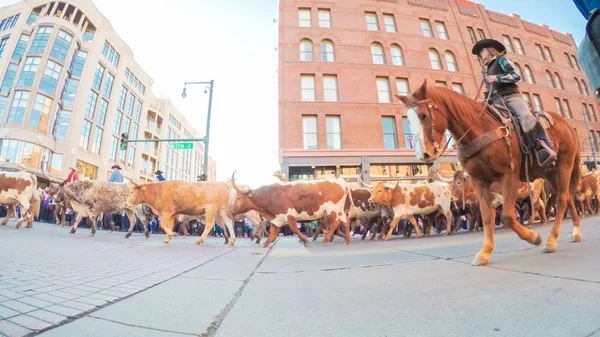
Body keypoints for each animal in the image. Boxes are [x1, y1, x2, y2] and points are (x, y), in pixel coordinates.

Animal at [398, 80, 580, 266]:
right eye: (409, 120)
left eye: (423, 115)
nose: (423, 154)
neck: (479, 129)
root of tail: (566, 124)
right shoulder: (479, 181)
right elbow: (487, 216)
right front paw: (485, 252)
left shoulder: (509, 176)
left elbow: (507, 216)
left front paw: (534, 237)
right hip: (550, 173)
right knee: (567, 197)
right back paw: (575, 233)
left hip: (564, 166)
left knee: (560, 201)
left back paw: (551, 240)